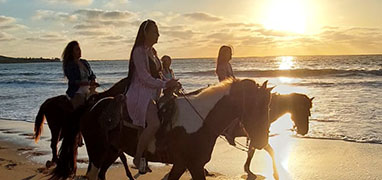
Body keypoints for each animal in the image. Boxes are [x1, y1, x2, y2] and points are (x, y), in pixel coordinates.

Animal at [50, 78, 274, 180]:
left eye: (268, 106)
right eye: (257, 107)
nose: (262, 141)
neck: (201, 121)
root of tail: (91, 106)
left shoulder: (182, 164)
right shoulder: (193, 165)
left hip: (111, 152)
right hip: (97, 152)